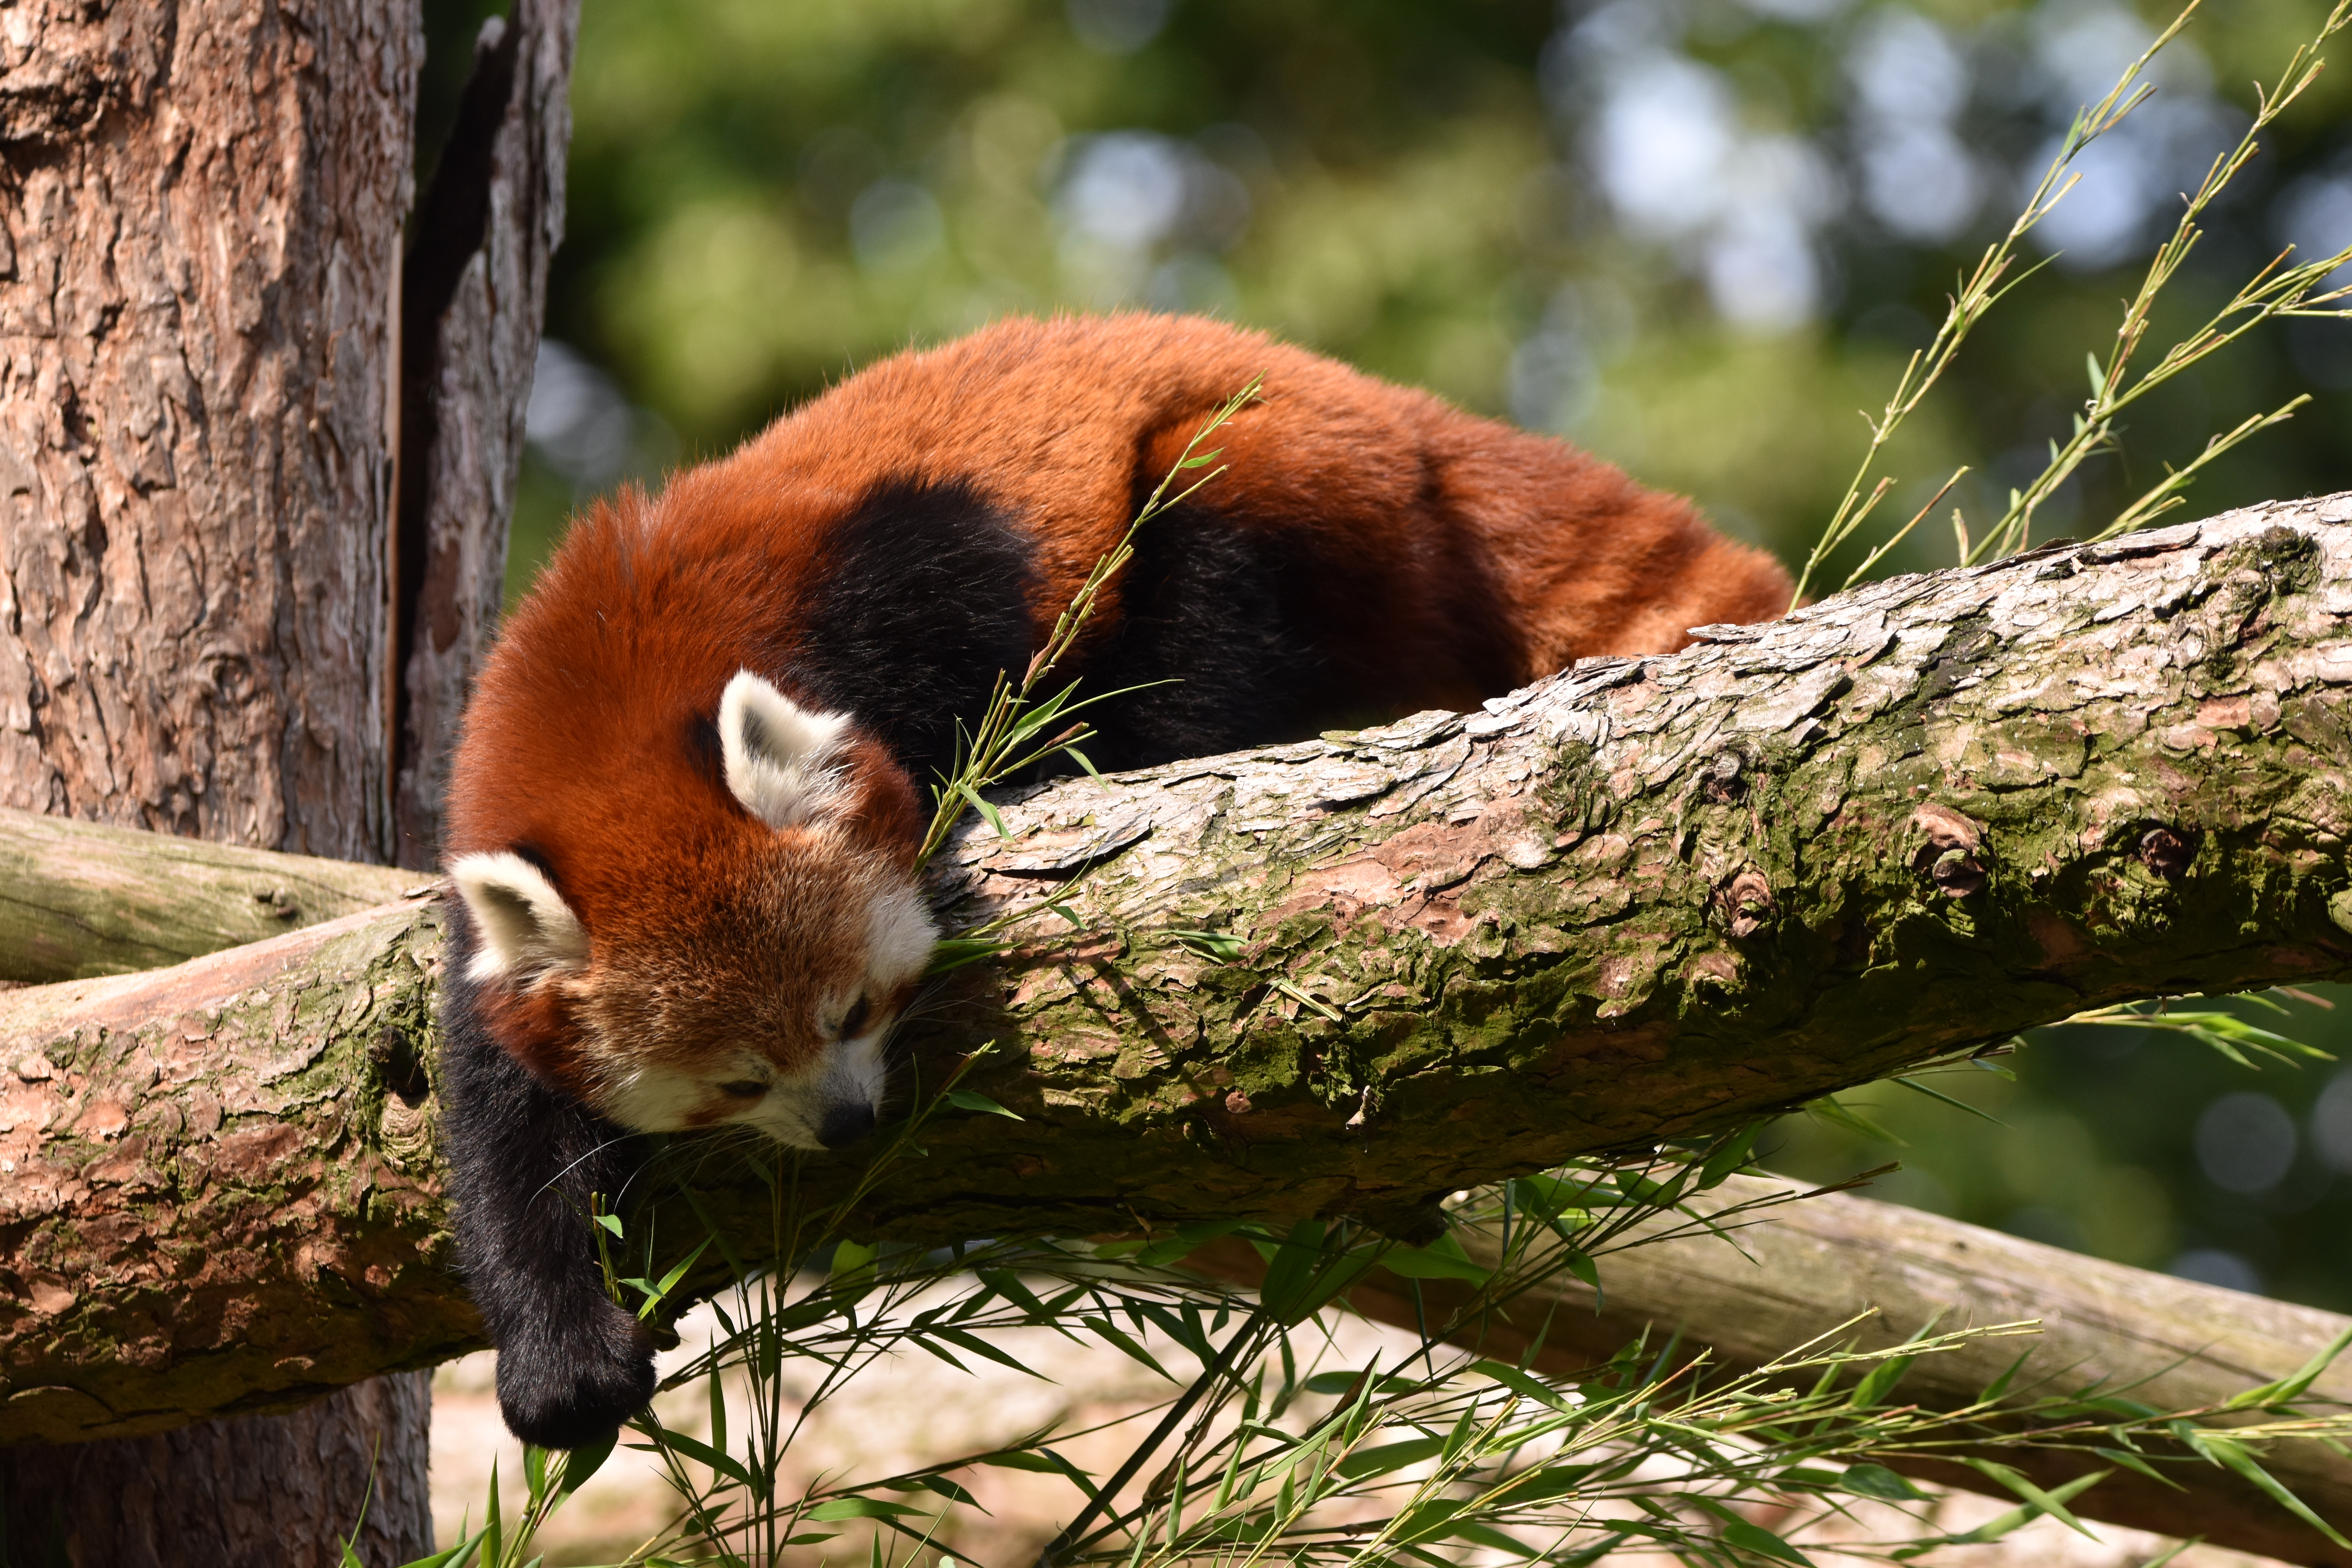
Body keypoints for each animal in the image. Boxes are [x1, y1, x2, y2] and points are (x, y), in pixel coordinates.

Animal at [442, 312, 1788, 1457]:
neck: (606, 682)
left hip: (1257, 474)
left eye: (855, 1012)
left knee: (1209, 603)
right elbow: (505, 1128)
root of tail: (1378, 403)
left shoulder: (910, 570)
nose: (847, 1125)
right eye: (737, 1082)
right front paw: (558, 1354)